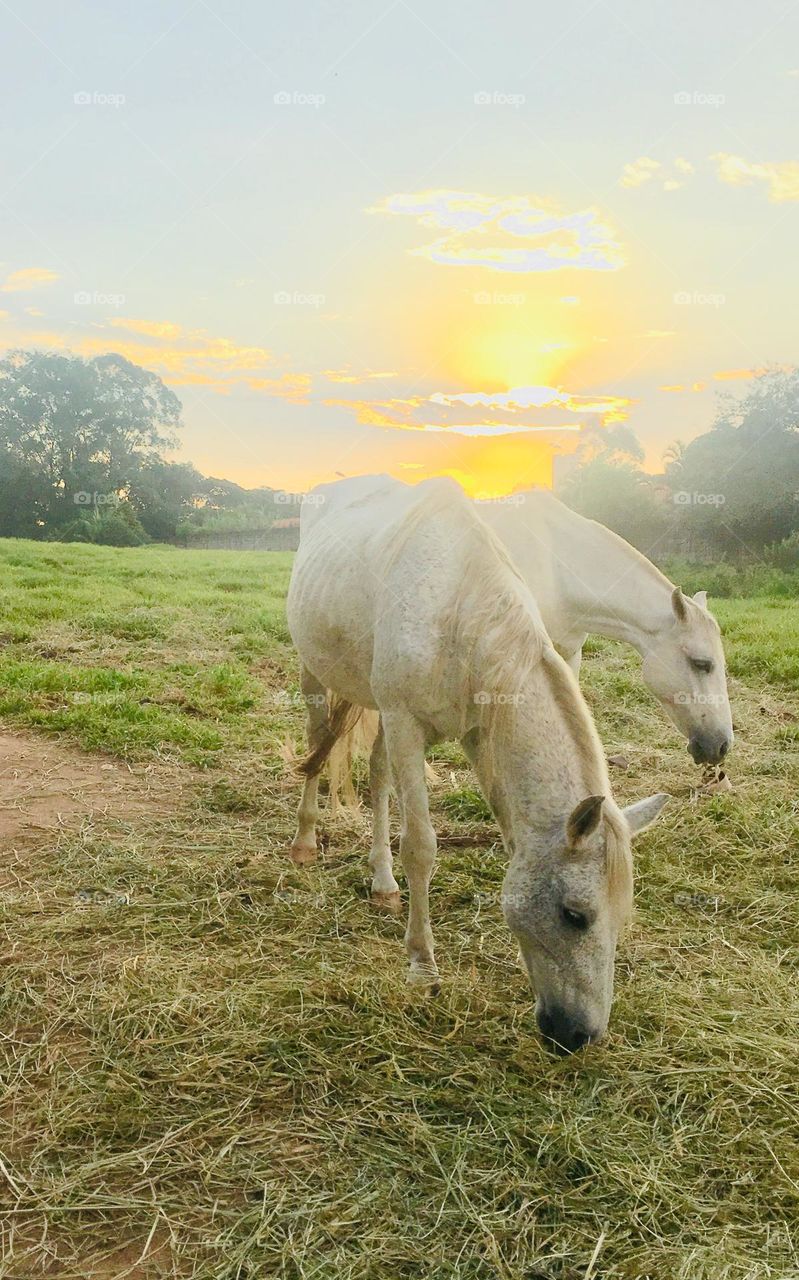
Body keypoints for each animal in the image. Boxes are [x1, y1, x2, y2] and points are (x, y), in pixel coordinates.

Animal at [286, 476, 665, 1054]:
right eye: (574, 915)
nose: (579, 1035)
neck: (457, 613)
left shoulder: (455, 729)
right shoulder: (406, 722)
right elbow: (420, 846)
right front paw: (422, 967)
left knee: (375, 775)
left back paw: (382, 884)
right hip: (316, 672)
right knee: (317, 745)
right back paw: (306, 841)